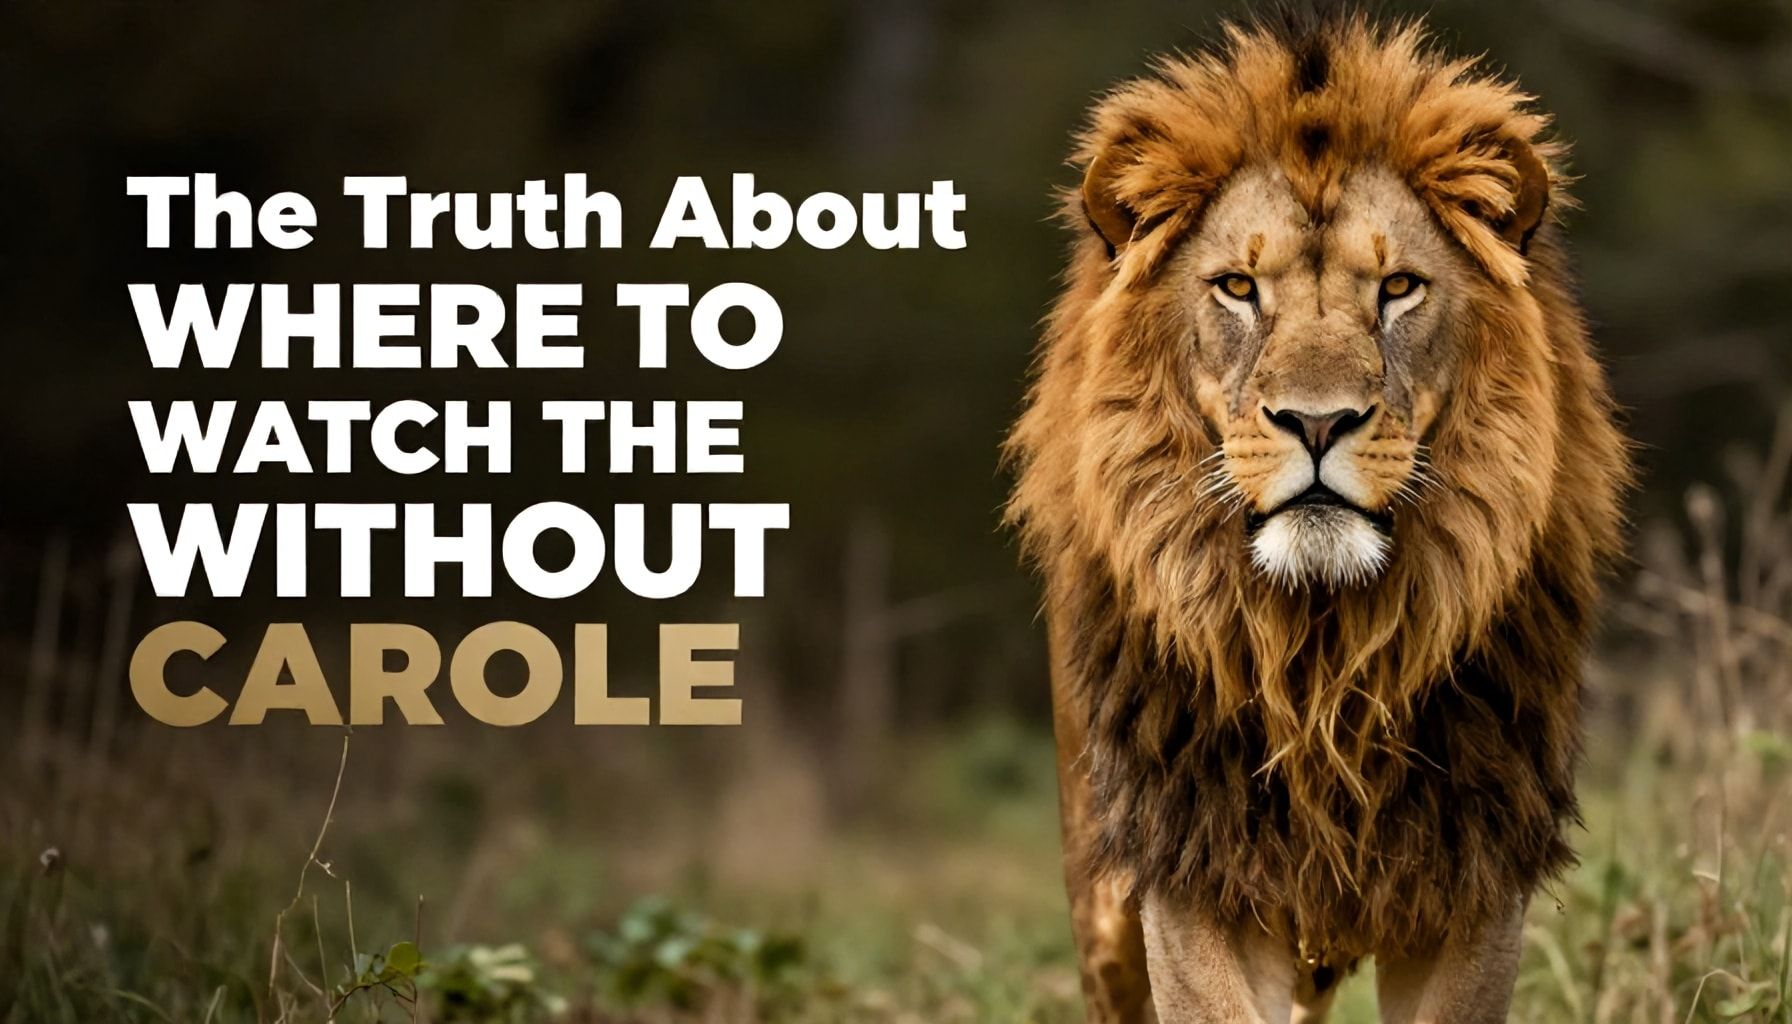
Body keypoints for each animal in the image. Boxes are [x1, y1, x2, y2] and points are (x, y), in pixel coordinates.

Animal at [1004, 13, 1629, 1023]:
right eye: (1237, 288)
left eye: (1399, 288)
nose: (1319, 421)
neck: (1323, 649)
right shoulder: (1196, 871)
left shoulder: (1474, 879)